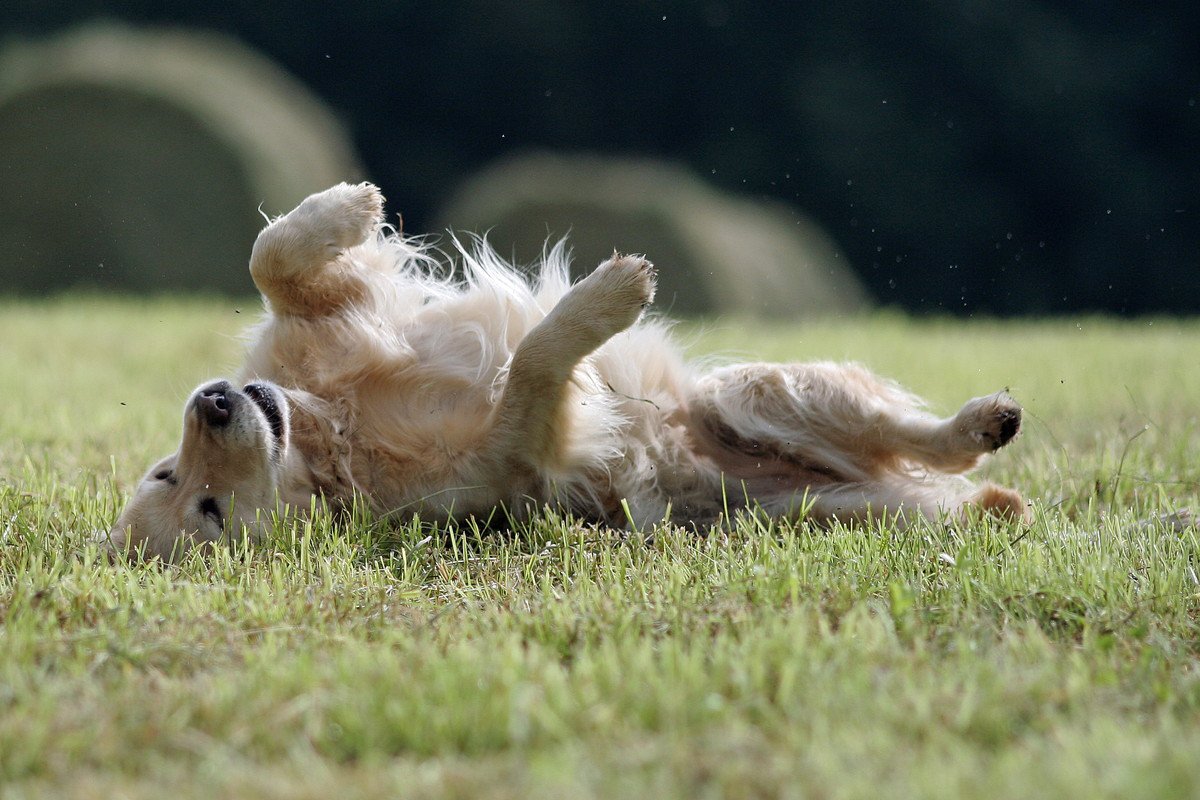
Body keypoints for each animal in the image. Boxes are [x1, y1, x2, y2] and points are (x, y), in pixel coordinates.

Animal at [108, 181, 1022, 561]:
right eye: (207, 511)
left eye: (166, 473)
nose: (214, 399)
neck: (330, 432)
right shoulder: (520, 455)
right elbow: (534, 363)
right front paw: (608, 297)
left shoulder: (323, 323)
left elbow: (271, 256)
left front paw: (346, 207)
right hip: (812, 497)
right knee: (945, 473)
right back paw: (989, 464)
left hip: (751, 394)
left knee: (916, 436)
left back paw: (986, 420)